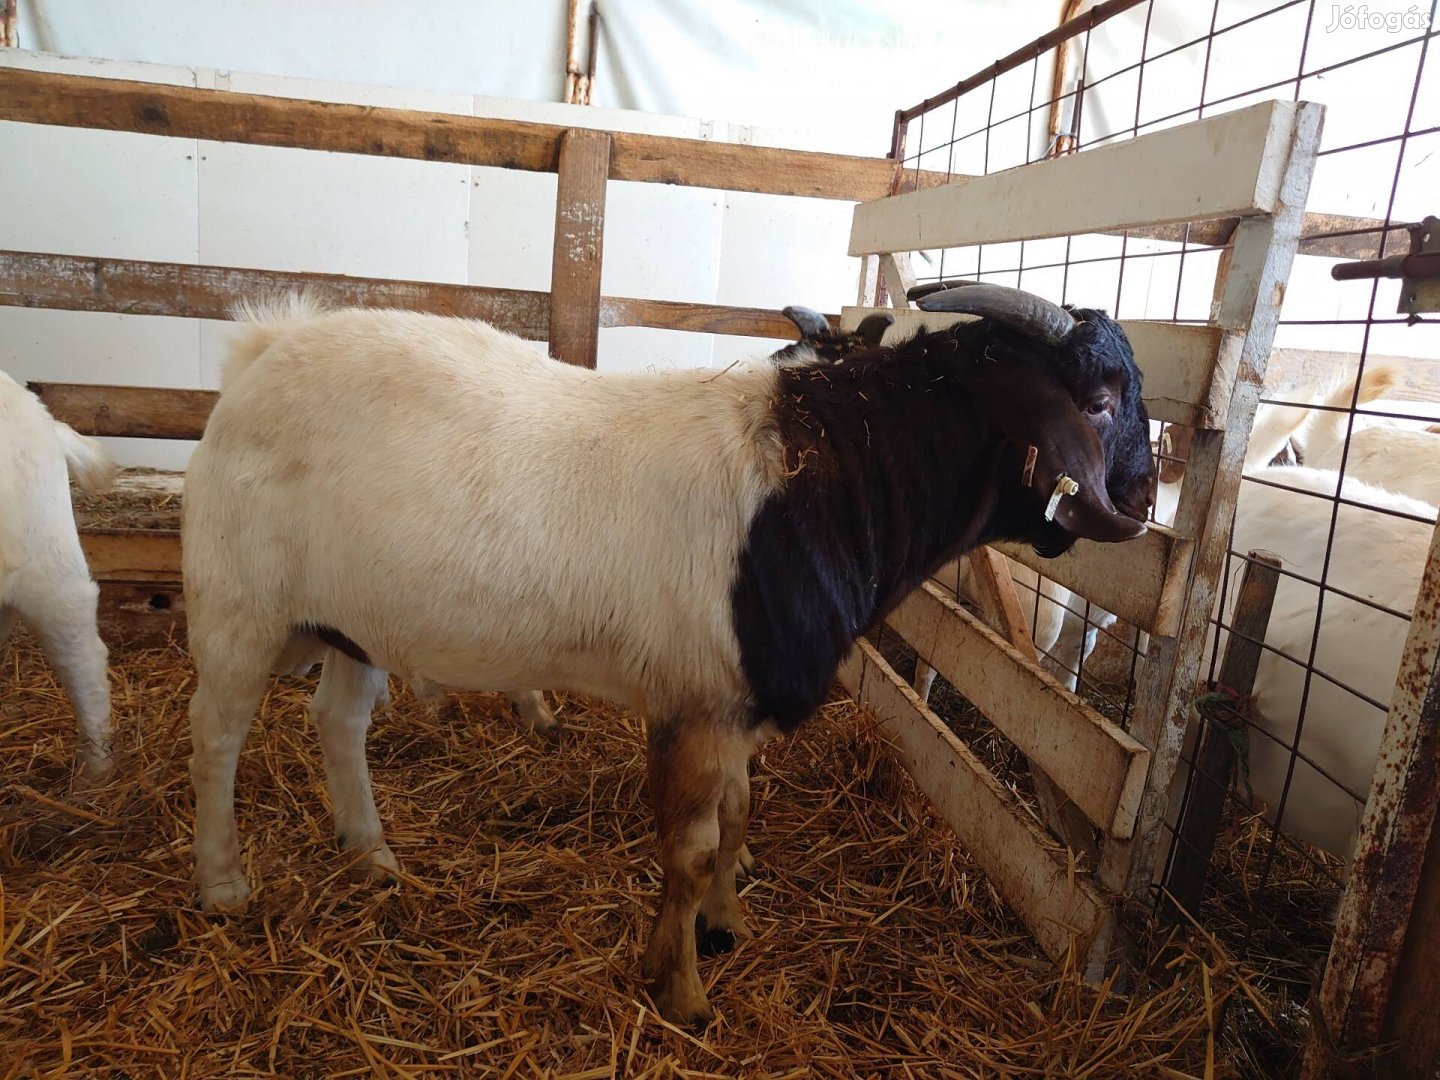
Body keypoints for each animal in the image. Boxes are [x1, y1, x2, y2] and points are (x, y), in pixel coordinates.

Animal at [180, 283, 1152, 1025]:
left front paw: (725, 923)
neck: (820, 479)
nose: (1145, 495)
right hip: (237, 600)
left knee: (338, 721)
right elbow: (688, 848)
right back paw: (225, 883)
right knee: (215, 736)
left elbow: (742, 813)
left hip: (358, 619)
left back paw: (372, 853)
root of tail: (263, 350)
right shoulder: (697, 705)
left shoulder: (733, 701)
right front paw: (680, 987)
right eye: (1100, 401)